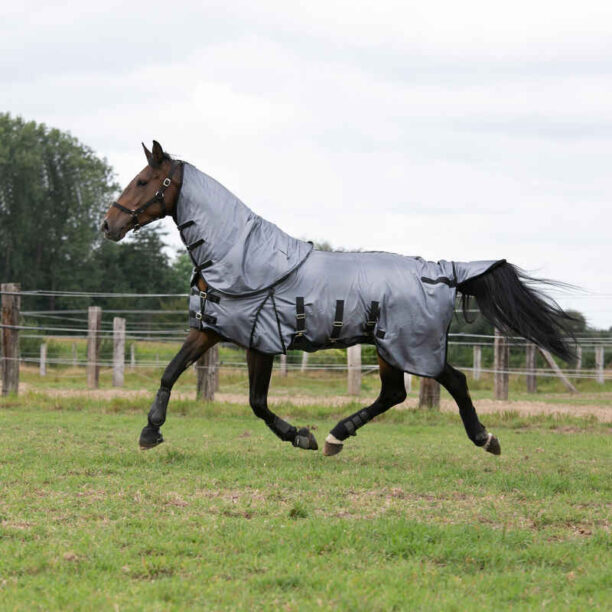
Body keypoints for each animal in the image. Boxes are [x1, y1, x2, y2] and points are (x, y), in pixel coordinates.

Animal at [103, 143, 576, 456]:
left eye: (144, 181)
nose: (108, 225)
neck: (239, 255)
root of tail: (443, 270)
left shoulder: (260, 340)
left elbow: (257, 403)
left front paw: (300, 435)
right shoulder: (211, 330)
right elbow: (170, 372)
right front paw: (150, 432)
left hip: (409, 346)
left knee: (451, 382)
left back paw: (484, 438)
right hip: (388, 348)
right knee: (393, 394)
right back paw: (338, 436)